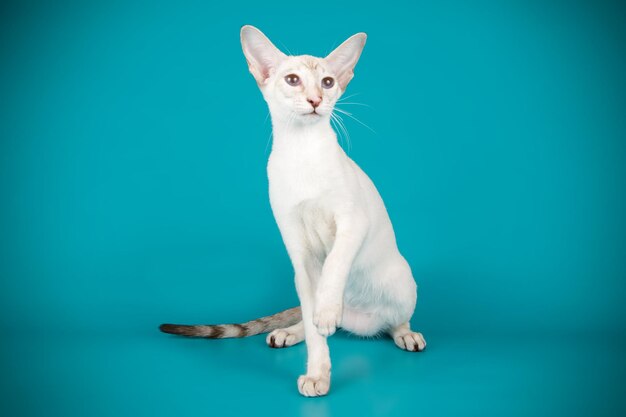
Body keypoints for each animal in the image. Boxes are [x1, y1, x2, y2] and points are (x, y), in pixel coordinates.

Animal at [158, 26, 426, 396]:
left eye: (327, 82)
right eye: (293, 80)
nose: (315, 100)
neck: (303, 152)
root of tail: (362, 321)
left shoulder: (352, 222)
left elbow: (334, 267)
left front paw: (327, 310)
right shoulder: (298, 250)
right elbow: (316, 331)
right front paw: (318, 375)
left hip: (403, 281)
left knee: (396, 318)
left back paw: (403, 333)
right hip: (306, 281)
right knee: (308, 316)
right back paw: (291, 331)